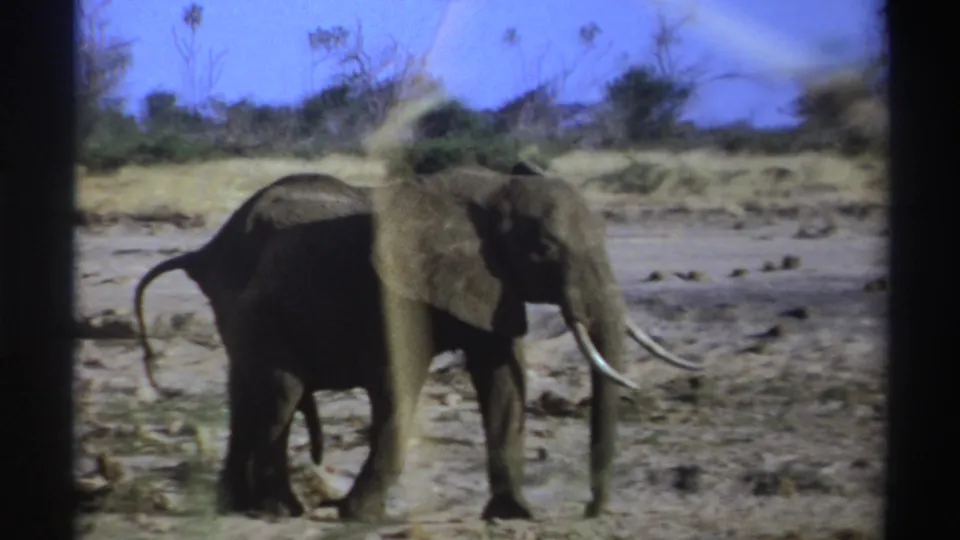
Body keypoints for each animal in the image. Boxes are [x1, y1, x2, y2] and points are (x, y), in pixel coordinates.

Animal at [133, 164, 703, 522]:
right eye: (544, 249)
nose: (589, 512)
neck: (495, 192)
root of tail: (205, 250)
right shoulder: (402, 292)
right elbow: (401, 383)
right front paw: (358, 517)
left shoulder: (491, 285)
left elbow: (501, 380)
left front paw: (514, 516)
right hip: (259, 311)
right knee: (280, 393)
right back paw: (277, 510)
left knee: (248, 393)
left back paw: (237, 508)